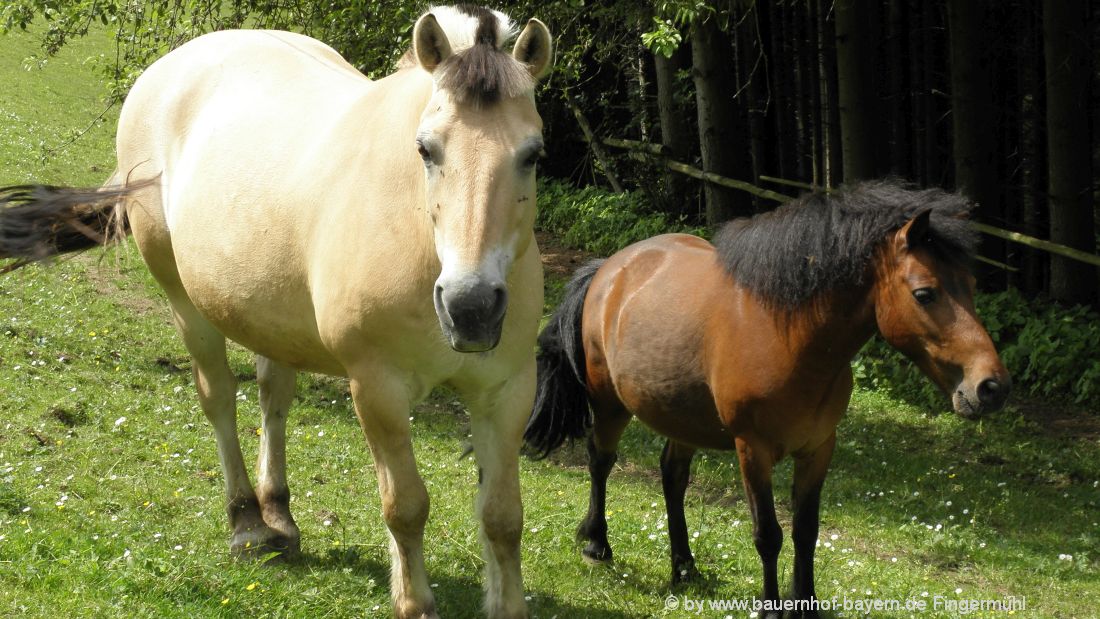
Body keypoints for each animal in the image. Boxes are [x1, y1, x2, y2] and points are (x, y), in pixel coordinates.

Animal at [0, 4, 550, 619]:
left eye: (533, 154)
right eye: (426, 149)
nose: (469, 306)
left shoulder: (506, 391)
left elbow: (502, 518)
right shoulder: (377, 388)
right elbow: (405, 506)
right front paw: (414, 602)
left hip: (273, 320)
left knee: (274, 397)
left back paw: (278, 514)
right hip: (184, 301)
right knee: (218, 396)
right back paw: (246, 522)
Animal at [523, 181, 1007, 615]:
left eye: (969, 285)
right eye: (925, 293)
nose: (991, 387)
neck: (789, 338)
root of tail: (611, 268)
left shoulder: (818, 448)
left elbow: (806, 530)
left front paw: (806, 603)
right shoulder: (752, 450)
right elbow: (768, 534)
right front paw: (772, 607)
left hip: (681, 418)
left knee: (672, 477)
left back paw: (684, 567)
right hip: (610, 405)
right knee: (600, 461)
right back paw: (597, 544)